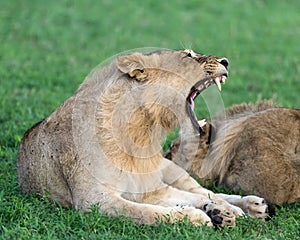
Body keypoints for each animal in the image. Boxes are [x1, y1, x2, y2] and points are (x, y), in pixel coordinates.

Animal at [17, 49, 268, 227]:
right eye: (188, 55)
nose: (226, 61)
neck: (141, 131)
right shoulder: (95, 200)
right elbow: (147, 212)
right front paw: (198, 217)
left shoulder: (150, 188)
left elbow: (191, 198)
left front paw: (224, 210)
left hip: (174, 171)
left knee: (206, 191)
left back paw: (249, 205)